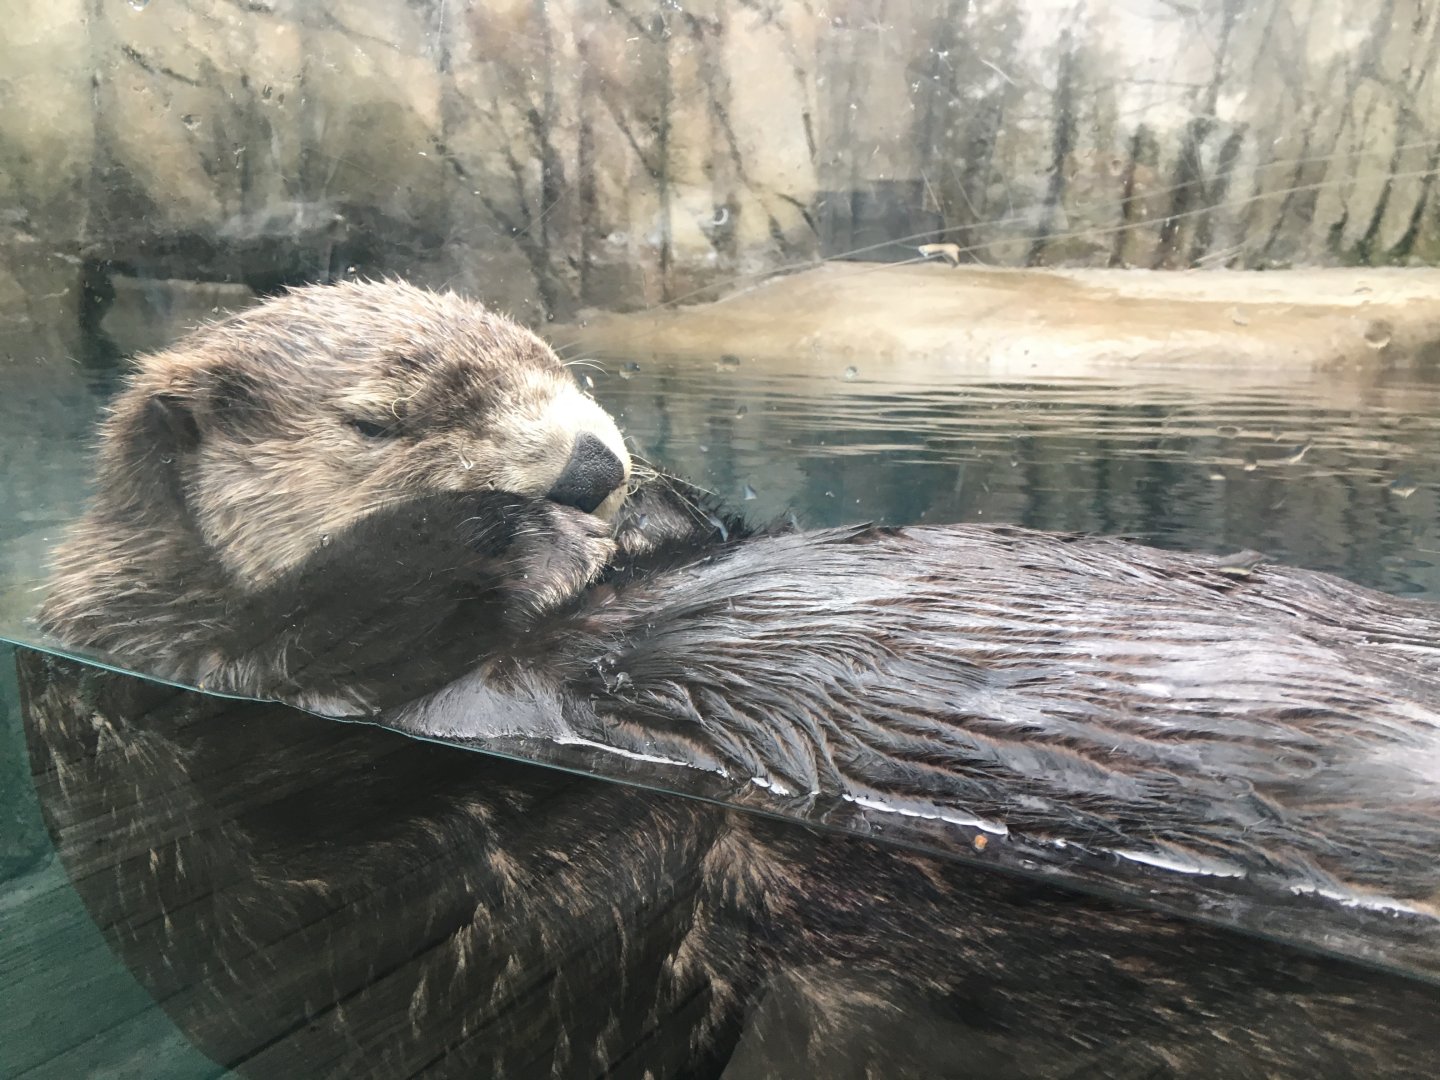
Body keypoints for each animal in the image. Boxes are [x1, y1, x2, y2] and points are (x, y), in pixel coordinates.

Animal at [23, 281, 1440, 1077]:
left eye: (567, 368)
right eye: (376, 422)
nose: (589, 465)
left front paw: (663, 509)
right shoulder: (170, 727)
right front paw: (504, 538)